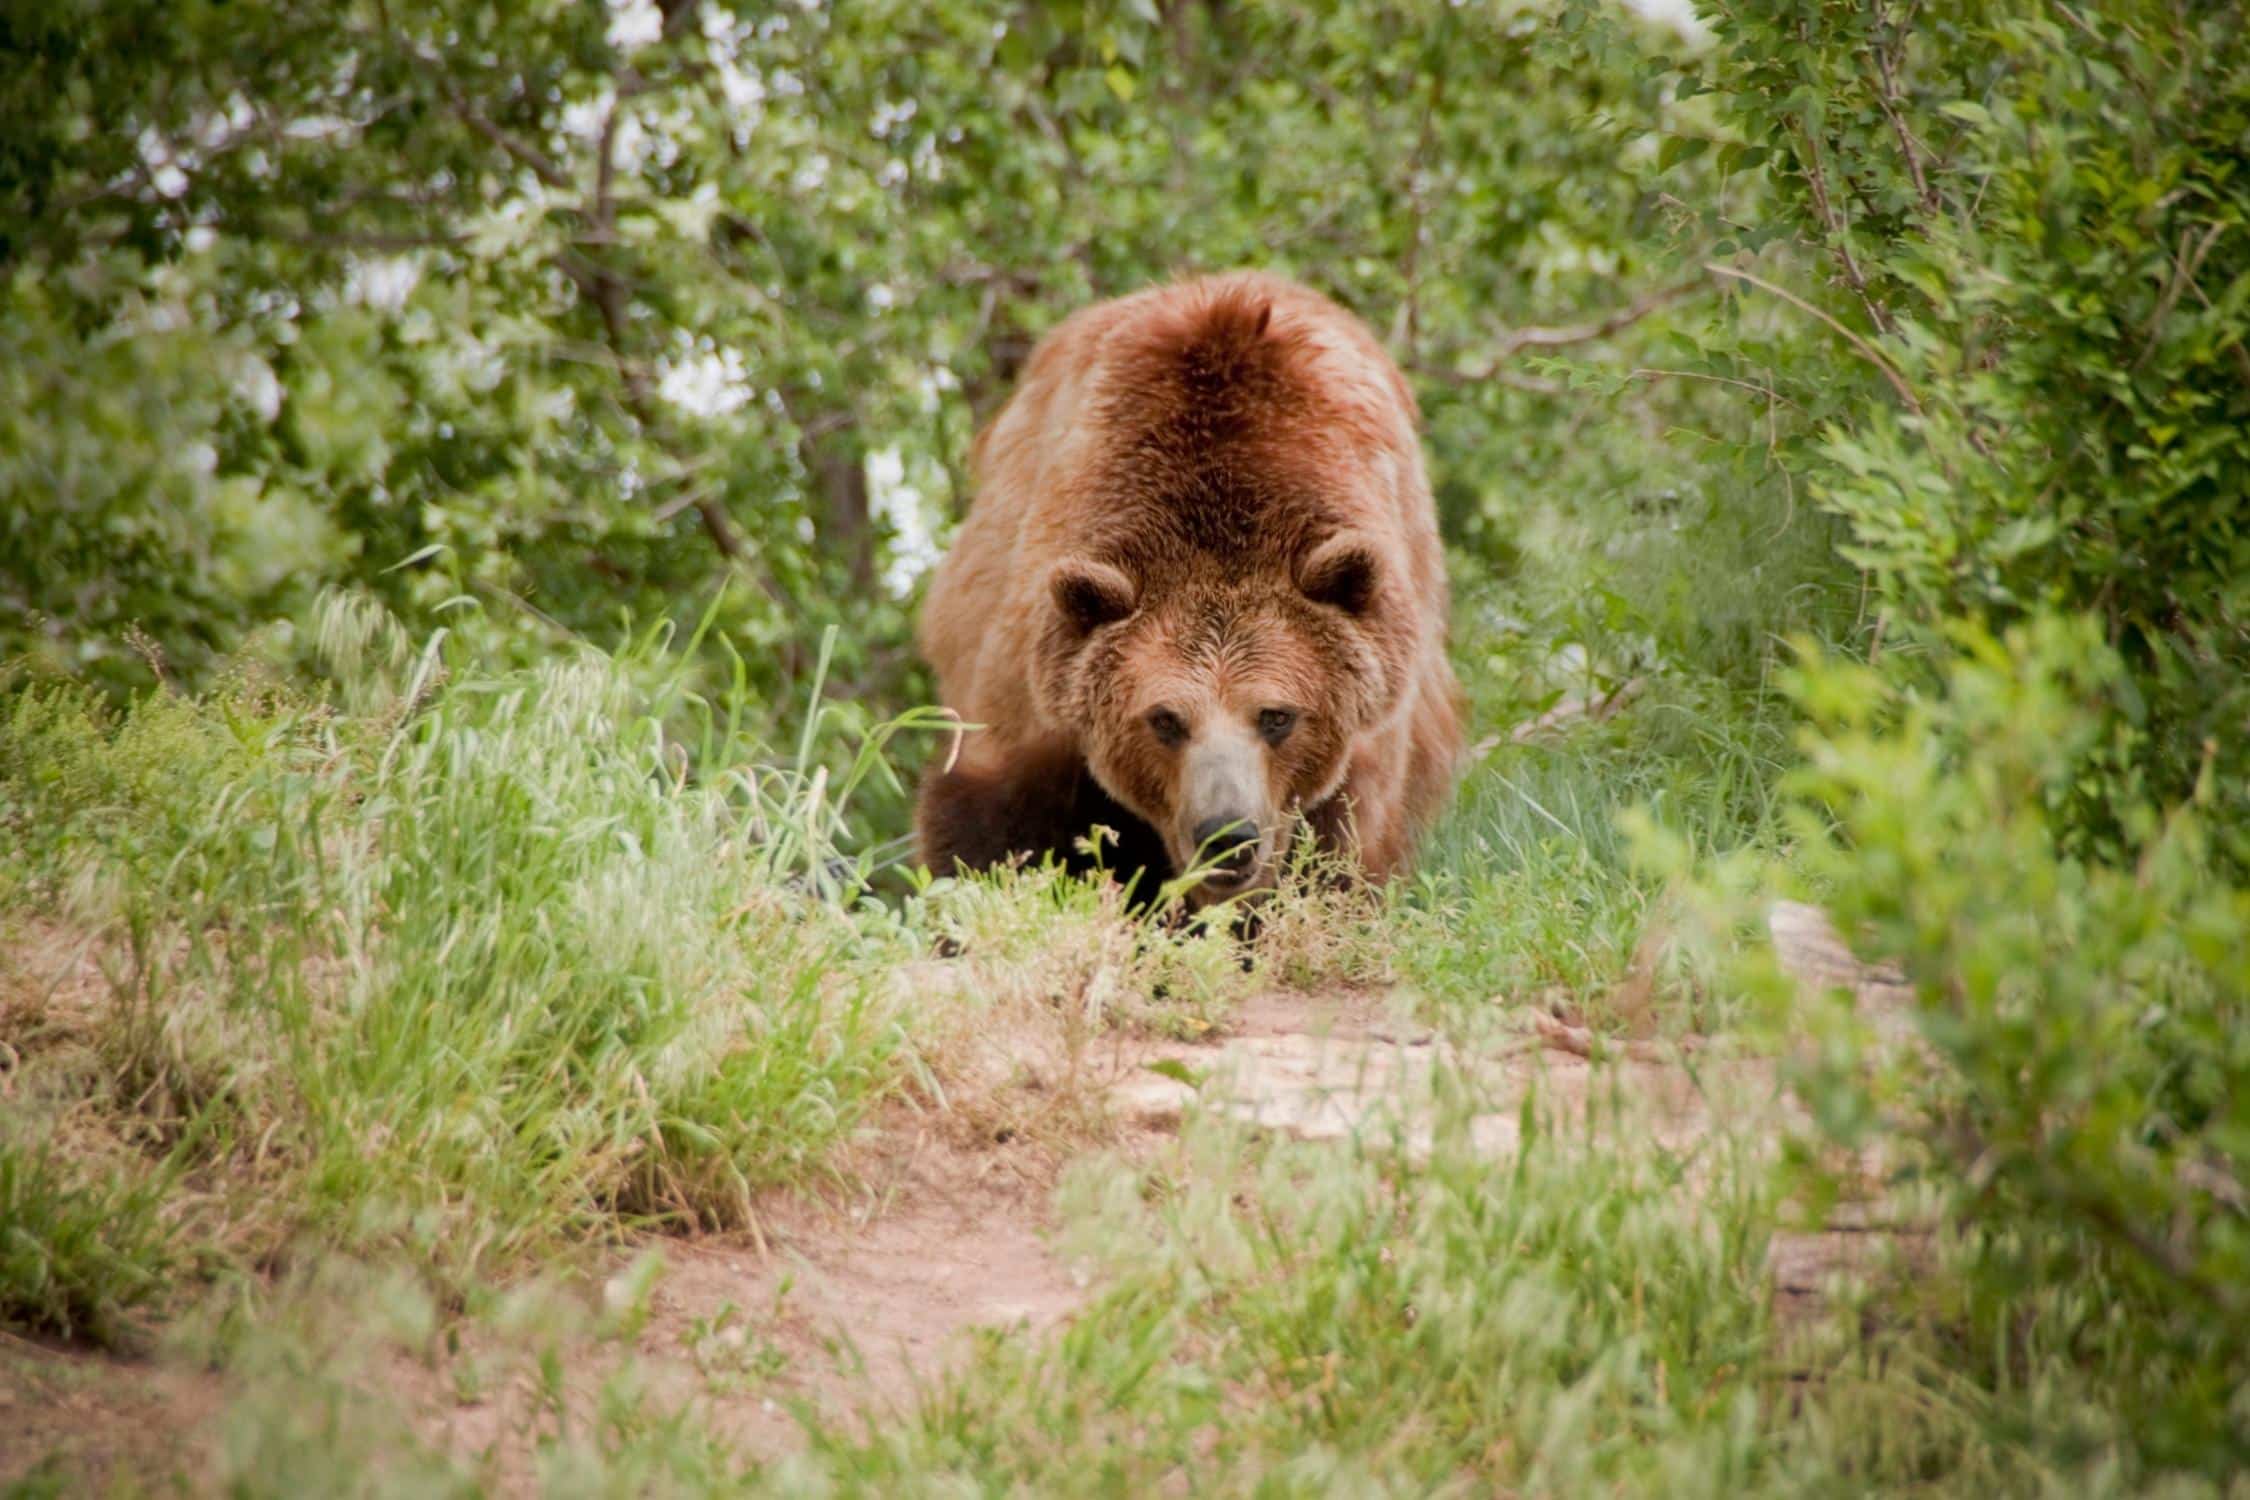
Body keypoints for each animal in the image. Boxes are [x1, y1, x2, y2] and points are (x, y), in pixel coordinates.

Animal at [918, 269, 1467, 904]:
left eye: (1277, 715)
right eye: (1165, 719)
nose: (1227, 835)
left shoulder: (1370, 731)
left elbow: (1340, 855)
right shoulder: (1032, 670)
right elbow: (995, 828)